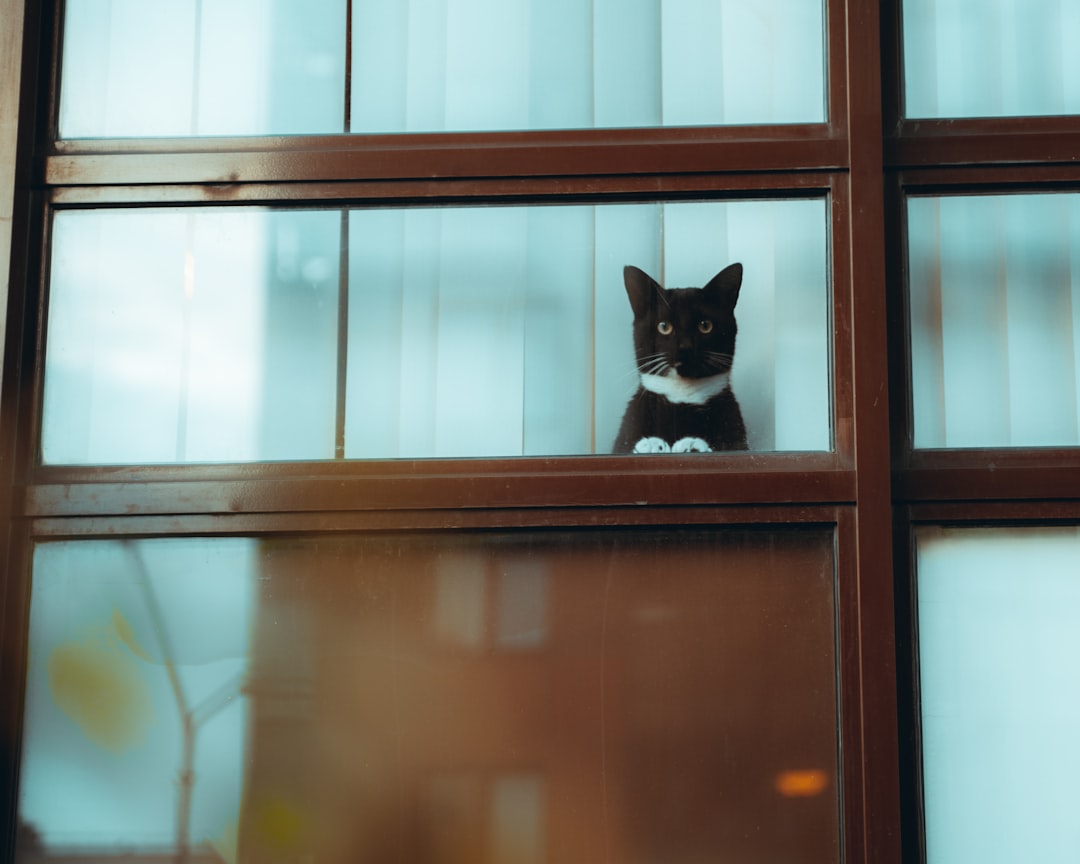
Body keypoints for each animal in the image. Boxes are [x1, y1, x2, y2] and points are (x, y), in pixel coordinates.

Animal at [613, 261, 747, 451]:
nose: (685, 347)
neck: (682, 395)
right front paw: (651, 445)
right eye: (664, 326)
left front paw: (692, 445)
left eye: (705, 325)